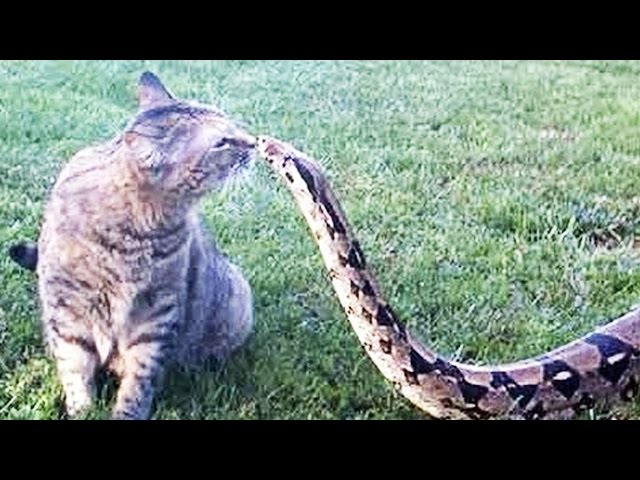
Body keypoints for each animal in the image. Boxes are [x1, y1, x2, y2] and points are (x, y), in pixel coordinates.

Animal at [9, 72, 256, 419]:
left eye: (231, 127)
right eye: (222, 142)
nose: (253, 141)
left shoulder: (156, 314)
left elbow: (139, 381)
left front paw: (127, 412)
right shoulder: (68, 309)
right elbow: (75, 370)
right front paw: (83, 409)